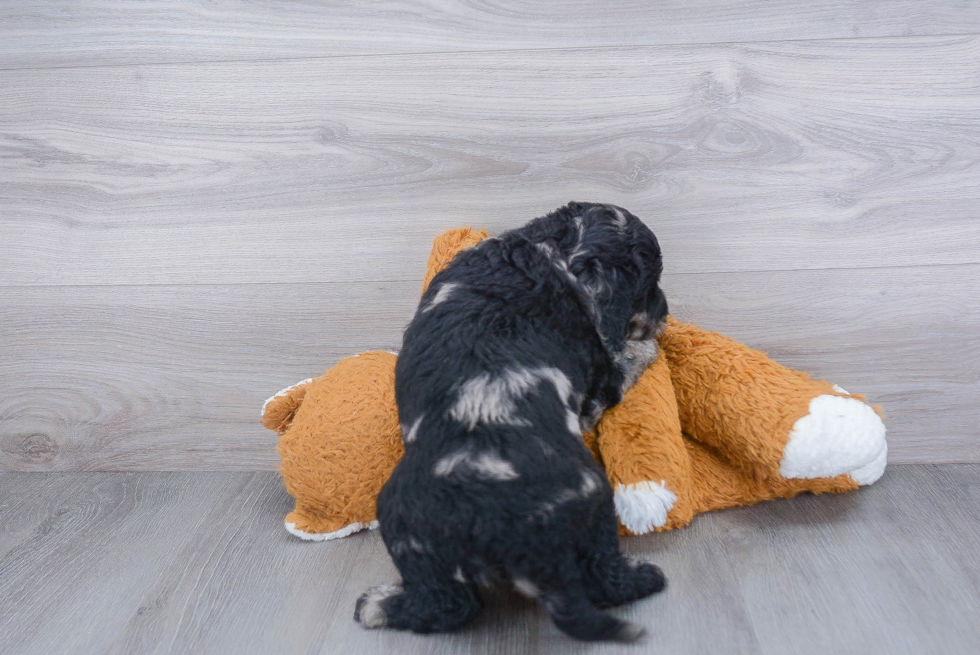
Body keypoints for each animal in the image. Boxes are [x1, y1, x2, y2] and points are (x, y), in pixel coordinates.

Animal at [356, 202, 668, 644]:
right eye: (650, 284)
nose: (666, 312)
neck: (547, 253)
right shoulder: (597, 386)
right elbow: (630, 357)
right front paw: (650, 342)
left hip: (404, 522)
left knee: (447, 605)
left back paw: (377, 606)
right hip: (594, 506)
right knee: (600, 577)